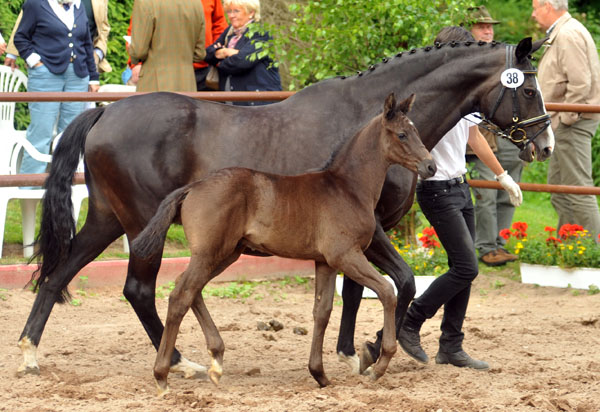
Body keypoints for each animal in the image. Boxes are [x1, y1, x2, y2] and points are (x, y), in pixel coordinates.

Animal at [131, 92, 436, 392]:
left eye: (416, 131)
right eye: (402, 134)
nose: (430, 166)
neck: (347, 187)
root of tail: (193, 187)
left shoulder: (325, 262)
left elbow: (322, 311)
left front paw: (319, 374)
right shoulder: (346, 255)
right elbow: (387, 291)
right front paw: (378, 365)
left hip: (226, 254)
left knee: (191, 289)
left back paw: (216, 360)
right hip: (210, 253)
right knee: (180, 294)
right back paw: (162, 374)